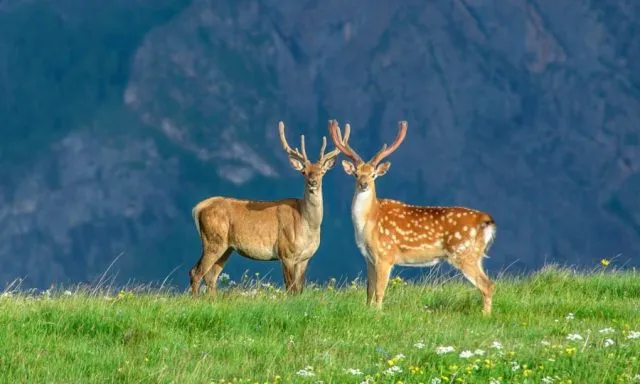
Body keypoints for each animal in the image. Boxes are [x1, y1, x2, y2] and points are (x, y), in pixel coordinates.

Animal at [190, 121, 350, 296]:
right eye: (304, 172)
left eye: (322, 172)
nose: (312, 182)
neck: (307, 225)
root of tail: (197, 208)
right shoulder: (285, 252)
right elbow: (290, 288)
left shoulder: (305, 258)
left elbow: (299, 289)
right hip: (213, 240)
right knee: (196, 272)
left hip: (226, 247)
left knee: (210, 275)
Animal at [330, 121, 500, 316]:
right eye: (356, 174)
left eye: (373, 174)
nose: (363, 184)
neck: (368, 223)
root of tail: (486, 220)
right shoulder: (369, 258)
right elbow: (369, 290)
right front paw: (368, 311)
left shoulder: (385, 254)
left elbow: (380, 290)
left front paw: (379, 314)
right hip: (475, 255)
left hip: (464, 253)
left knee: (487, 285)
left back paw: (485, 316)